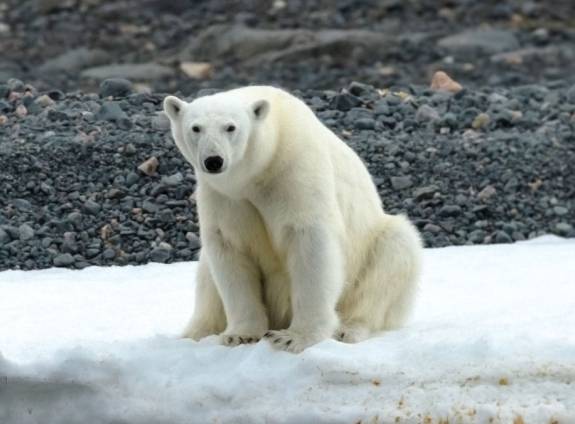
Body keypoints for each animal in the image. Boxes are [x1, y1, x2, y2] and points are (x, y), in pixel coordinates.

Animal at [163, 86, 422, 353]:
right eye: (196, 128)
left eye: (230, 127)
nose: (214, 160)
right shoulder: (224, 196)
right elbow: (230, 249)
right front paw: (240, 335)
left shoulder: (294, 171)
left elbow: (311, 242)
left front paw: (294, 338)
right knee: (207, 276)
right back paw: (194, 333)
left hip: (371, 249)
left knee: (392, 255)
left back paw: (348, 329)